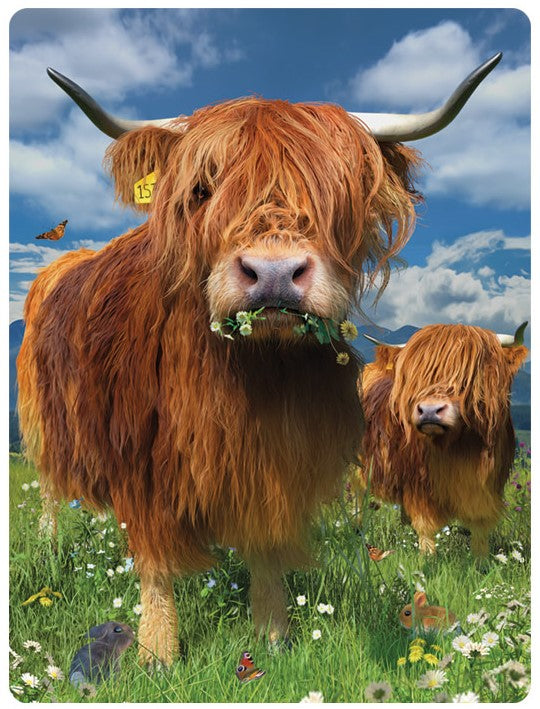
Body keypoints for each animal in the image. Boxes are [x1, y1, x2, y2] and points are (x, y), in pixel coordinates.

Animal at [16, 54, 501, 665]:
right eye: (202, 189)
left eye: (340, 192)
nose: (273, 274)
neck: (251, 376)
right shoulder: (139, 457)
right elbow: (152, 559)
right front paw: (157, 654)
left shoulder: (278, 454)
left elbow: (267, 546)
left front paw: (273, 637)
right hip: (44, 427)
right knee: (52, 494)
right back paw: (51, 547)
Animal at [359, 323, 528, 557]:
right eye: (415, 377)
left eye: (469, 376)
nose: (429, 410)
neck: (458, 447)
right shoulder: (418, 484)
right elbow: (425, 525)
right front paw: (427, 558)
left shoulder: (488, 484)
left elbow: (480, 526)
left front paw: (481, 560)